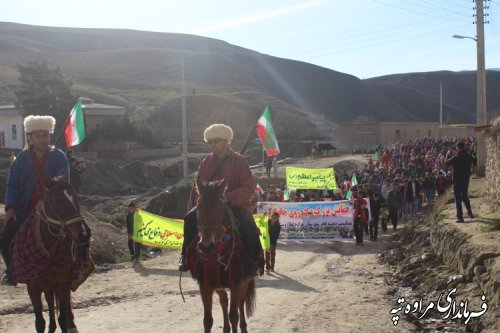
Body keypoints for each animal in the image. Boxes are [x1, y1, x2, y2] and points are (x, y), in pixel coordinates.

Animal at [9, 174, 93, 332]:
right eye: (58, 200)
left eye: (77, 198)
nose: (84, 234)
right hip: (47, 285)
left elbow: (63, 319)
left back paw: (71, 325)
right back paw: (52, 327)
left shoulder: (64, 284)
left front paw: (68, 324)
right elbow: (39, 323)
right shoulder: (32, 288)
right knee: (49, 301)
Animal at [187, 179, 260, 332]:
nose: (206, 246)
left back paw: (243, 327)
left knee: (240, 304)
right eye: (198, 206)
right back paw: (226, 328)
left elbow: (234, 316)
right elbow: (207, 320)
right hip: (219, 285)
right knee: (224, 301)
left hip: (244, 282)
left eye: (220, 208)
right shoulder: (205, 286)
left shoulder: (236, 283)